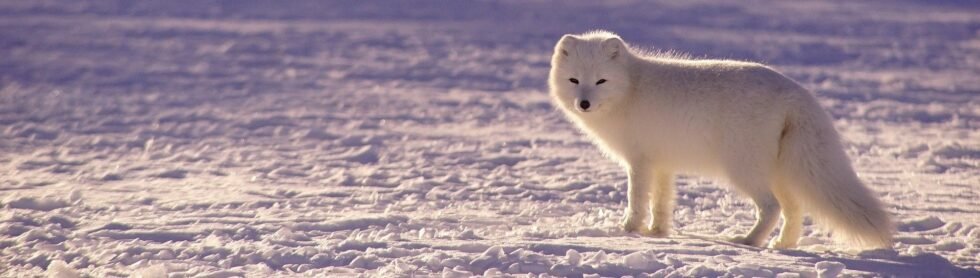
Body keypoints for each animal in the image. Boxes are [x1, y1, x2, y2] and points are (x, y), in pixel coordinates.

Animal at [548, 29, 892, 248]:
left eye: (601, 81)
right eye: (574, 80)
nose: (584, 103)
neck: (631, 88)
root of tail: (797, 92)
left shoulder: (640, 162)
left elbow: (637, 199)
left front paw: (629, 230)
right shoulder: (662, 164)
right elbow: (661, 202)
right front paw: (657, 232)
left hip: (743, 169)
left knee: (771, 207)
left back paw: (750, 241)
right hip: (780, 172)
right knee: (794, 209)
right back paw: (782, 245)